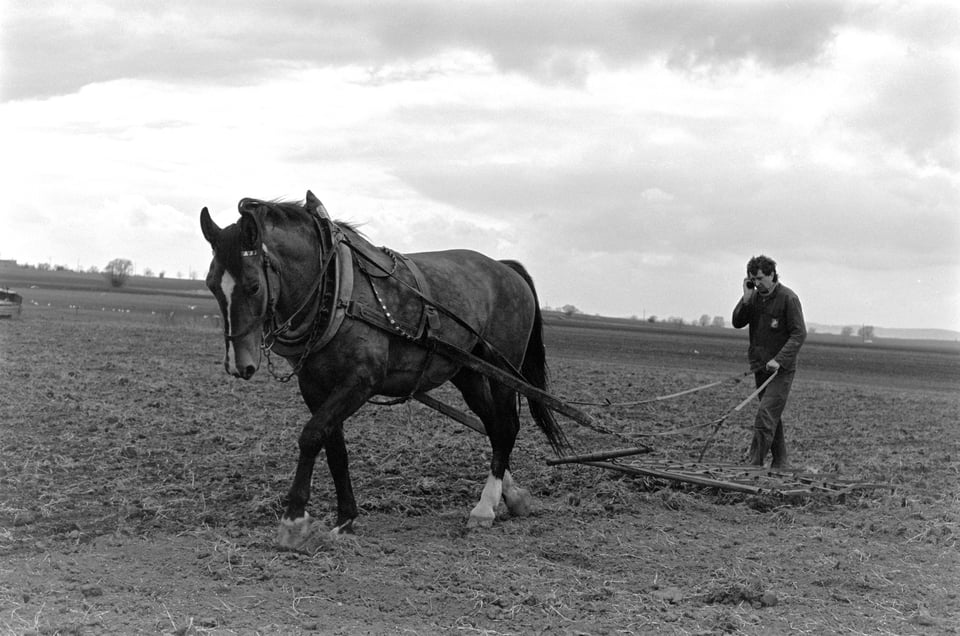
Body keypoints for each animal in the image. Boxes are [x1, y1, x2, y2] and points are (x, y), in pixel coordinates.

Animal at [199, 188, 568, 548]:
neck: (336, 288)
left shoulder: (361, 381)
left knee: (505, 427)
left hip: (504, 370)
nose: (238, 364)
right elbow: (334, 448)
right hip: (469, 373)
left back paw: (484, 508)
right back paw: (511, 496)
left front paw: (293, 520)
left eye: (253, 285)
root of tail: (506, 268)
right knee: (493, 427)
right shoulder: (315, 386)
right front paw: (345, 520)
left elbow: (311, 435)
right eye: (211, 284)